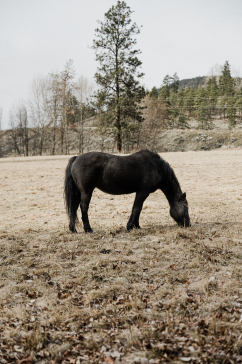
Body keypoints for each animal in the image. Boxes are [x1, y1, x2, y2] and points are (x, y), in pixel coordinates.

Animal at [63, 149, 191, 232]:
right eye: (185, 208)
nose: (188, 224)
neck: (157, 167)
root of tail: (77, 158)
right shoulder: (143, 192)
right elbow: (136, 208)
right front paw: (130, 226)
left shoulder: (141, 193)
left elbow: (138, 209)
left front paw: (136, 226)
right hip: (86, 192)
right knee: (83, 208)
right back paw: (88, 229)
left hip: (78, 192)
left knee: (73, 208)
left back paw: (73, 229)